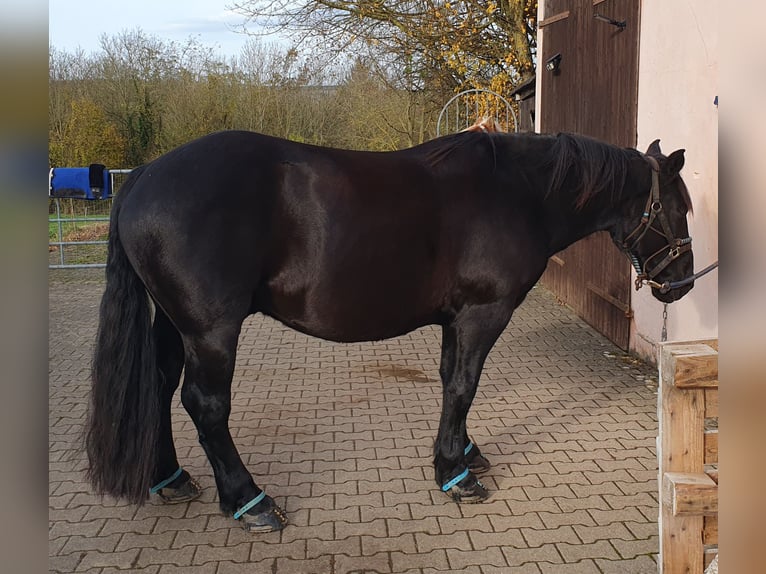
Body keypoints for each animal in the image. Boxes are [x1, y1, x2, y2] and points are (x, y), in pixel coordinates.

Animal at [87, 132, 700, 536]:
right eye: (680, 208)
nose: (681, 284)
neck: (518, 192)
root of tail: (143, 177)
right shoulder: (483, 313)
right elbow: (463, 386)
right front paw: (455, 474)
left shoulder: (456, 318)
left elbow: (451, 381)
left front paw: (464, 454)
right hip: (211, 329)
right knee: (205, 404)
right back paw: (249, 500)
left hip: (176, 323)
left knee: (159, 385)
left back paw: (169, 477)